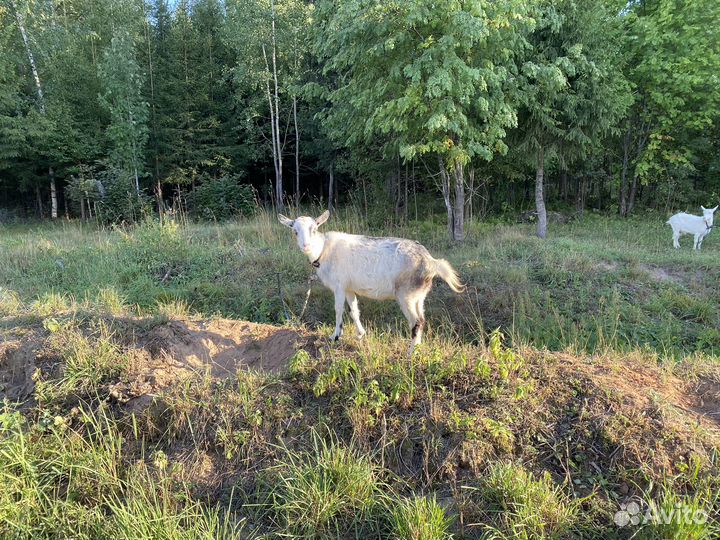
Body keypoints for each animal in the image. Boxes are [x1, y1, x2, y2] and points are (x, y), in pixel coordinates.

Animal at [278, 210, 465, 349]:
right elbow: (354, 310)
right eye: (295, 231)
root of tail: (431, 261)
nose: (306, 246)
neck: (324, 251)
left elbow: (338, 309)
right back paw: (418, 348)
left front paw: (335, 336)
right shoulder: (349, 288)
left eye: (314, 229)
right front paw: (360, 334)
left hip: (406, 294)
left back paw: (410, 353)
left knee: (416, 322)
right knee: (422, 319)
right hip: (419, 295)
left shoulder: (339, 286)